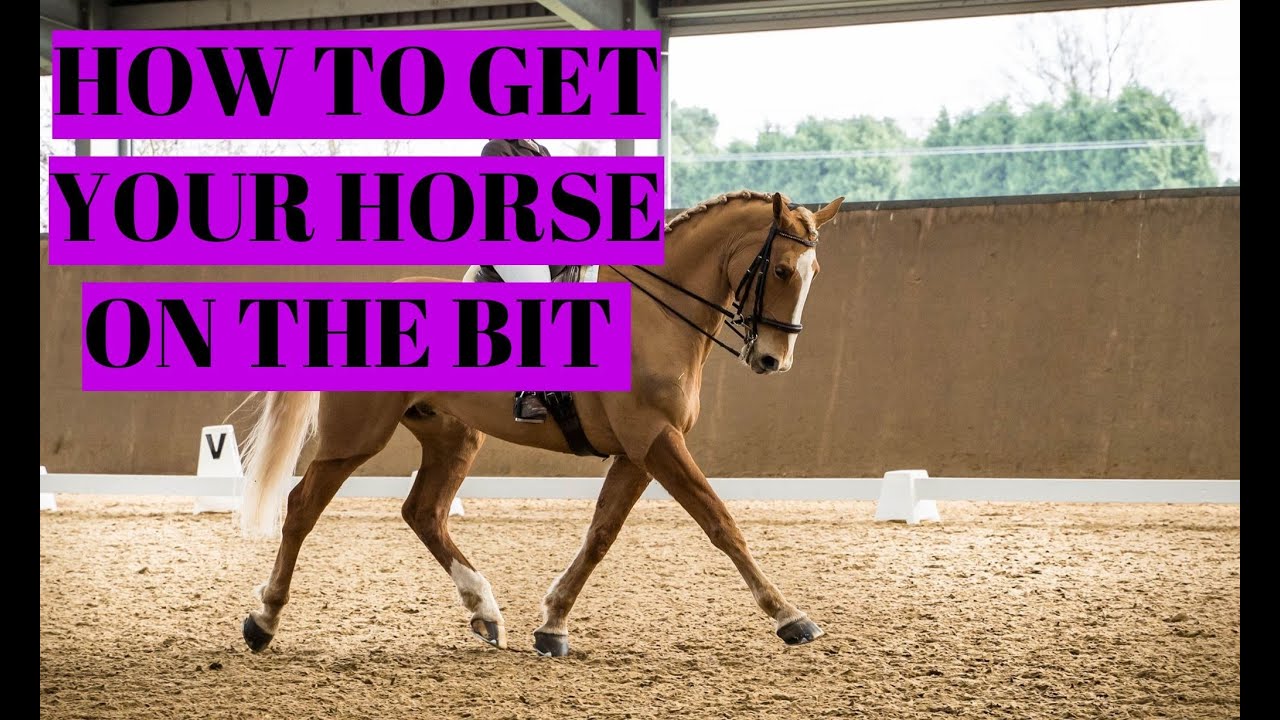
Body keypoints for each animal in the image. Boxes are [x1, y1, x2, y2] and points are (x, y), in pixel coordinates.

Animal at [237, 190, 845, 657]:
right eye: (782, 270)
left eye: (814, 273)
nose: (772, 360)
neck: (653, 317)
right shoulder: (655, 440)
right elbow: (721, 523)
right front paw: (789, 616)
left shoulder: (639, 451)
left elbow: (601, 534)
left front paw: (553, 623)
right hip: (356, 434)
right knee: (302, 508)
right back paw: (264, 621)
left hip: (453, 435)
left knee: (424, 513)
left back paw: (485, 611)